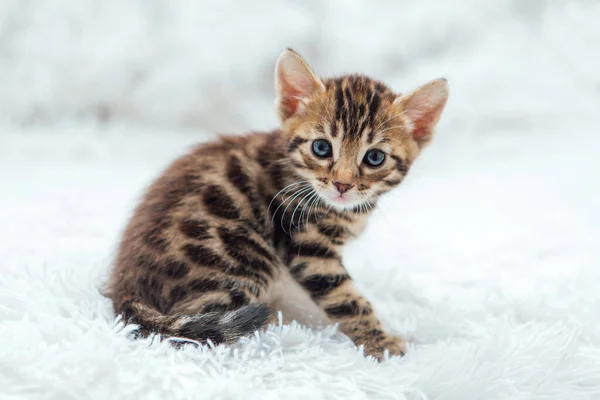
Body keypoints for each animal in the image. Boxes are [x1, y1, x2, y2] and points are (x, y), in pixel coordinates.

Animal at [105, 48, 448, 360]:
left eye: (374, 157)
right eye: (321, 148)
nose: (343, 184)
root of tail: (124, 284)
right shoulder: (309, 248)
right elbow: (347, 299)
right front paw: (381, 343)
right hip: (244, 255)